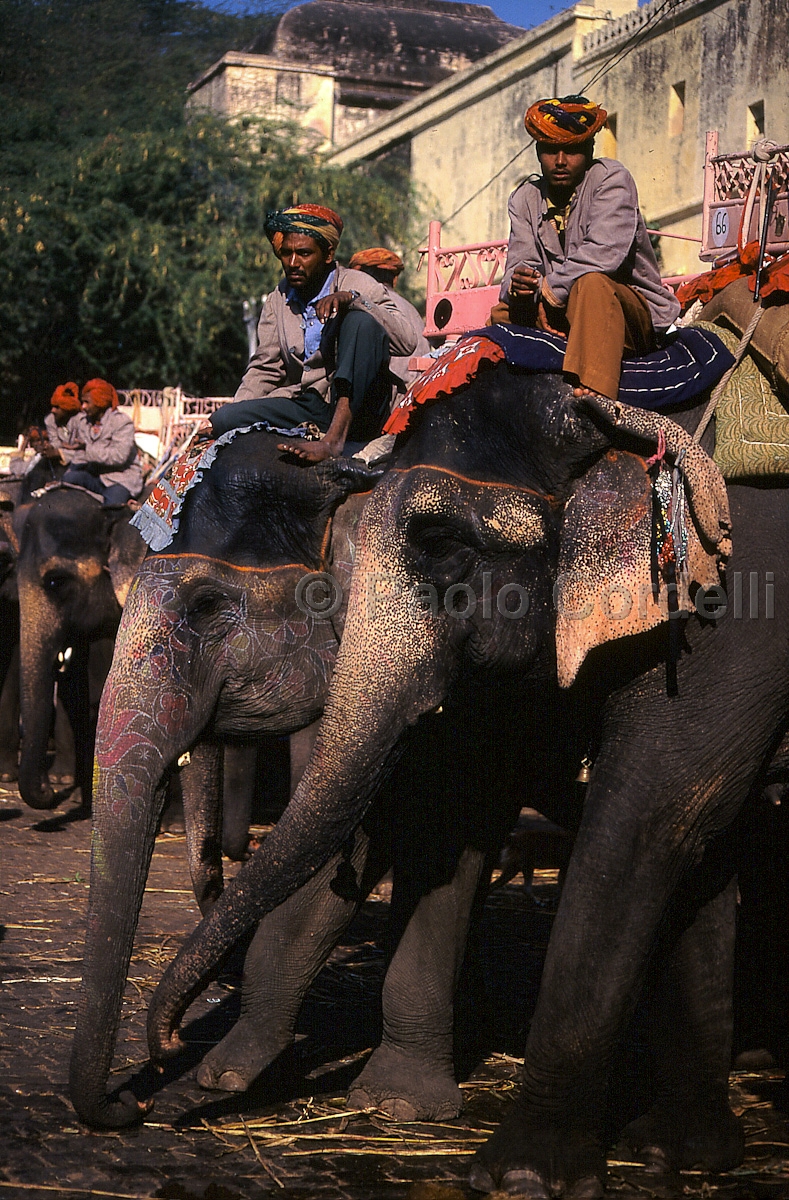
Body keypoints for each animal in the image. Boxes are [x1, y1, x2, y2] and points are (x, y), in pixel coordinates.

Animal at [142, 364, 781, 1200]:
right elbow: (460, 806)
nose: (164, 1045)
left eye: (444, 549)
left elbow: (652, 814)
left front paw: (523, 1174)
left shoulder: (728, 610)